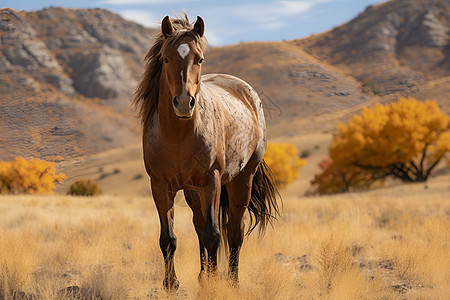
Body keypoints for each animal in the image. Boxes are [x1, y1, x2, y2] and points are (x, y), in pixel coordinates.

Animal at [132, 14, 280, 290]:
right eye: (165, 58)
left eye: (199, 58)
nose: (183, 103)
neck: (178, 136)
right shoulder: (160, 186)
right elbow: (168, 238)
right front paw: (171, 284)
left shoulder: (211, 181)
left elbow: (213, 234)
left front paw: (212, 283)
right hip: (193, 190)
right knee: (200, 225)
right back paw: (204, 275)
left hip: (241, 180)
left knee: (234, 231)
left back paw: (232, 280)